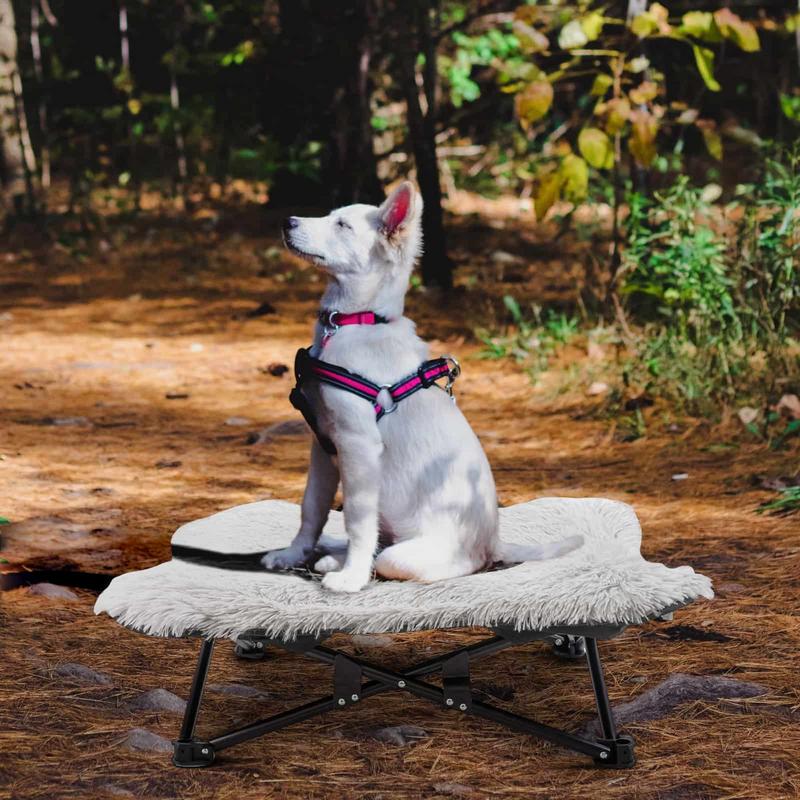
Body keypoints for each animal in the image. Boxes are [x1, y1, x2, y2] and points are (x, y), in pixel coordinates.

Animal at [264, 183, 580, 592]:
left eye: (342, 225)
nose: (287, 221)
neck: (357, 322)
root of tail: (494, 542)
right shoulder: (322, 443)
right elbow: (312, 508)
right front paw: (292, 555)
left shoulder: (357, 445)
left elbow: (356, 518)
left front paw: (352, 577)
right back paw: (333, 556)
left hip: (420, 552)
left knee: (405, 558)